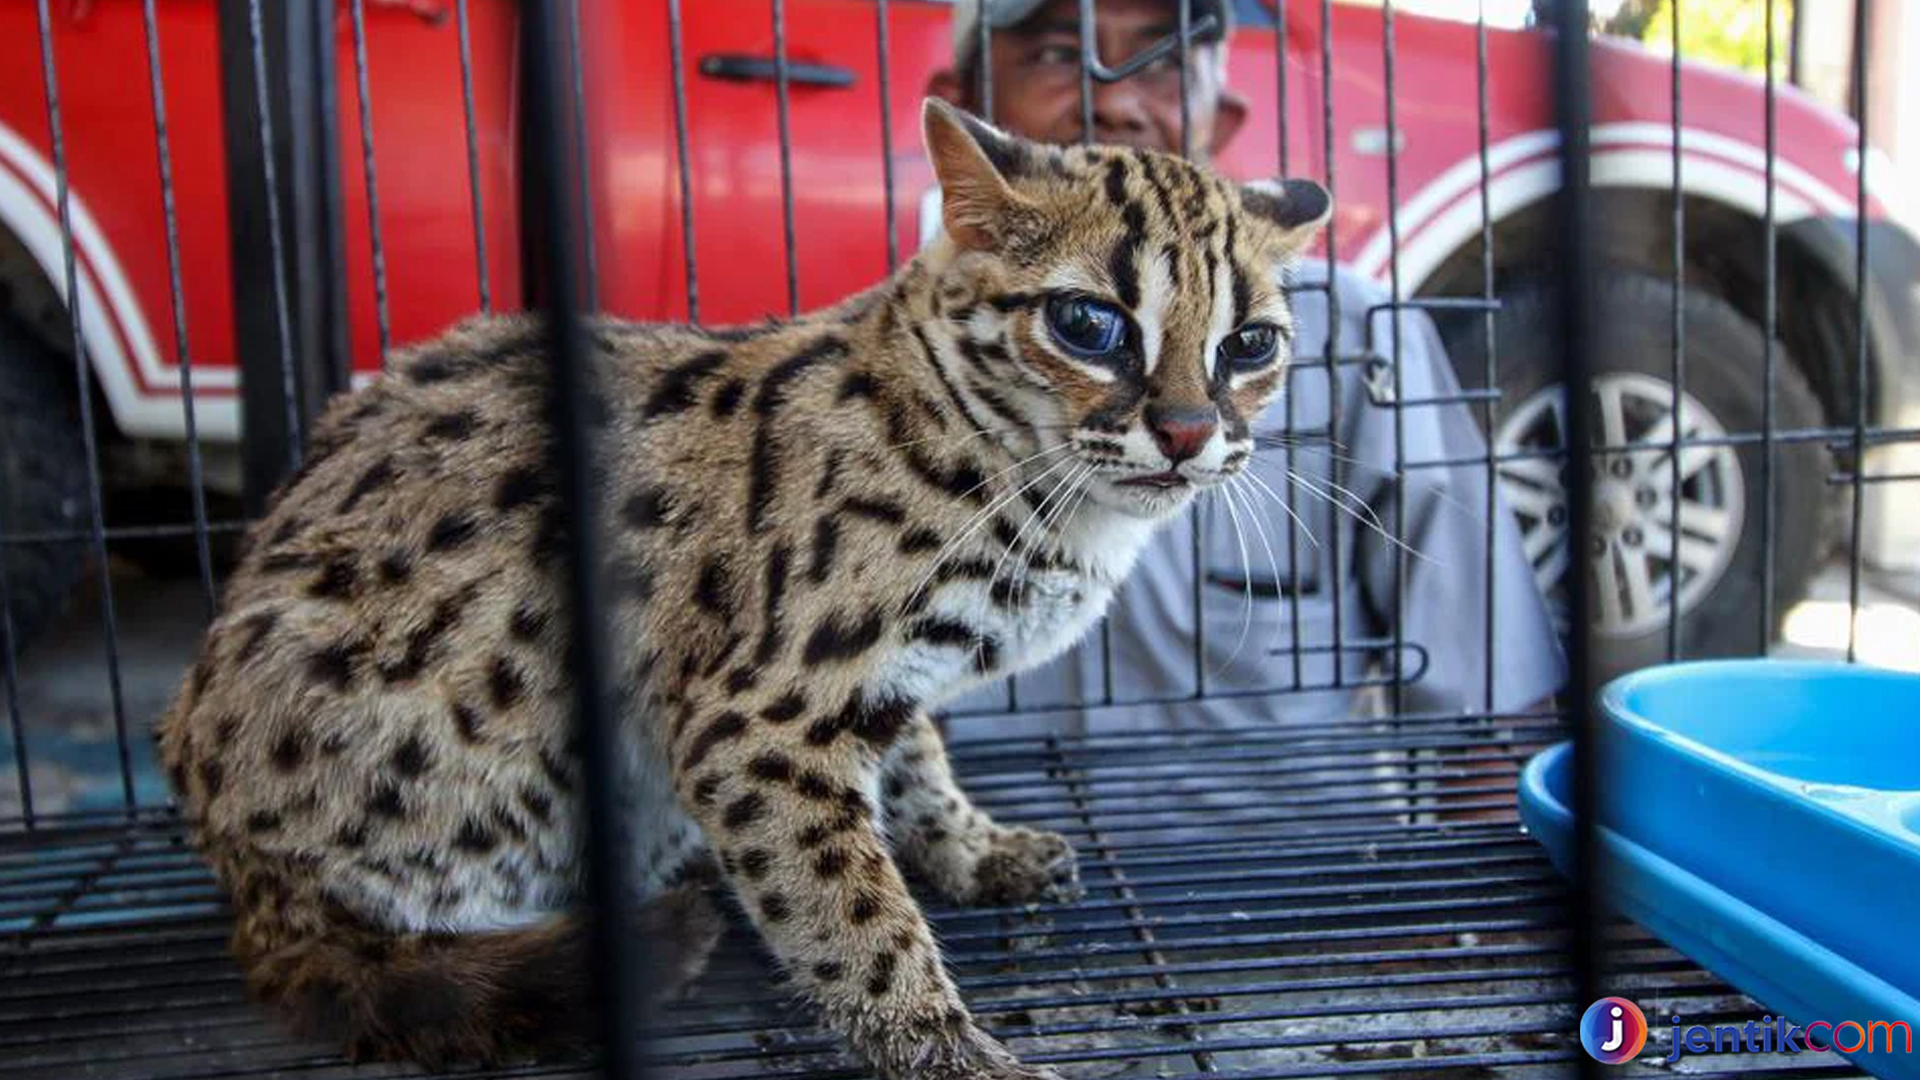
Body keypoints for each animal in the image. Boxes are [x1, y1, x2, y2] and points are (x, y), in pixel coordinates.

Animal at [149, 98, 1328, 1076]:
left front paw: (968, 846)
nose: (1189, 433)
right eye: (1089, 324)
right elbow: (853, 914)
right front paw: (946, 1051)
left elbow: (917, 763)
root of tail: (246, 888)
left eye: (1251, 344)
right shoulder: (755, 724)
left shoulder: (876, 688)